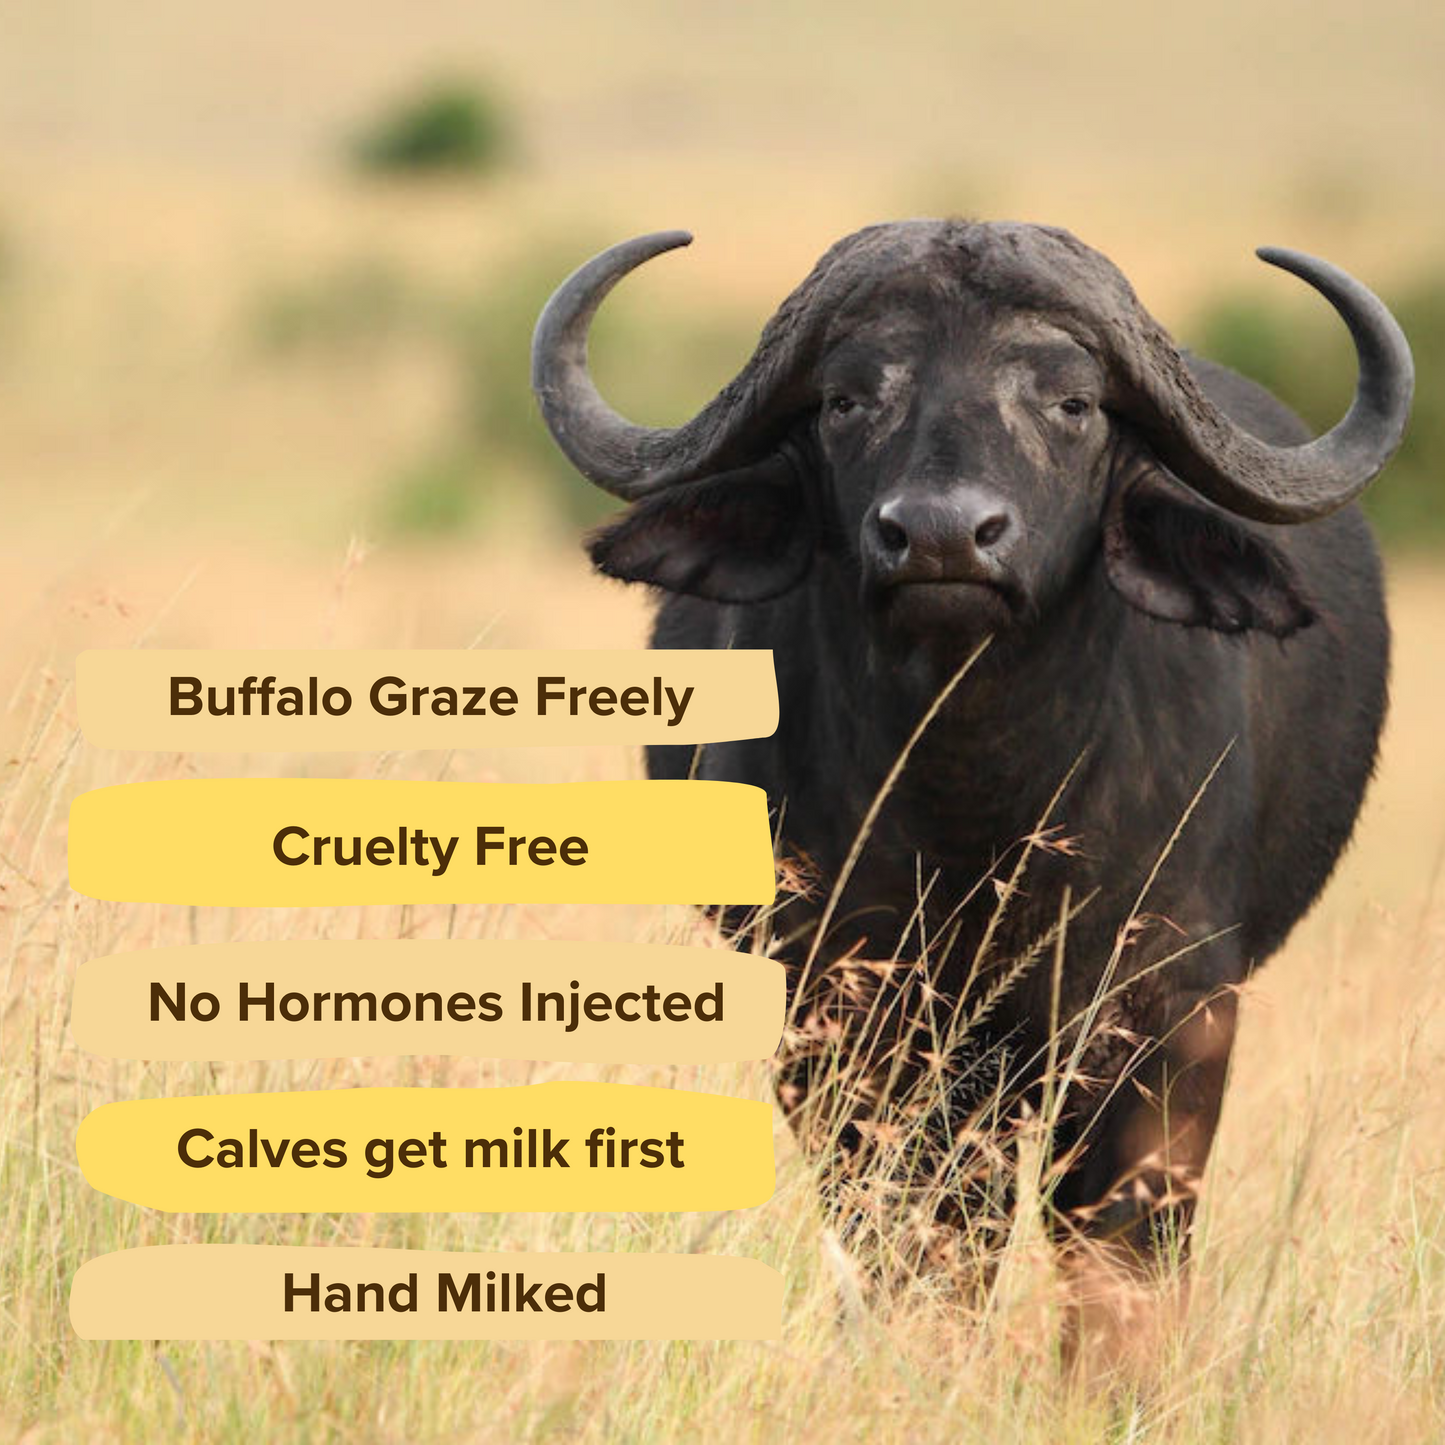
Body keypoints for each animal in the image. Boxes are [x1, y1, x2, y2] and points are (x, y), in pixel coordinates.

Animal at [531, 220, 1412, 1356]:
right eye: (845, 399)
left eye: (1070, 402)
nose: (943, 536)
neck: (977, 808)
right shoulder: (837, 1014)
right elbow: (917, 1237)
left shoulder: (1166, 1016)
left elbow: (1116, 1245)